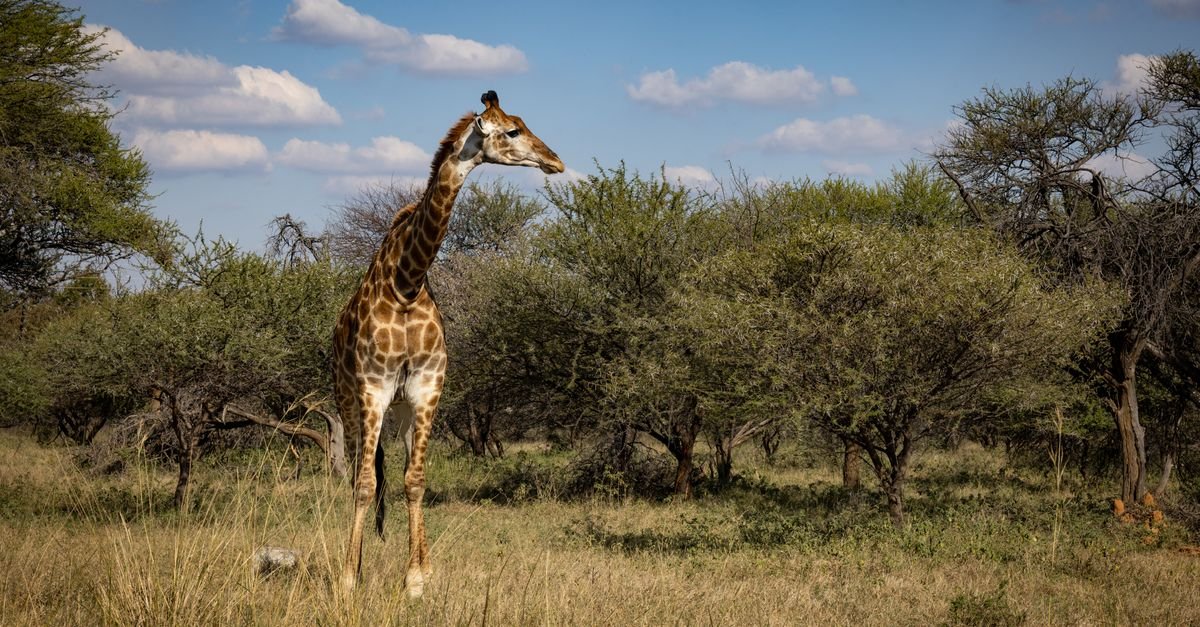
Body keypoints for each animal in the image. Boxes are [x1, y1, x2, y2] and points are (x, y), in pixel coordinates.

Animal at [333, 90, 564, 598]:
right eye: (512, 130)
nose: (555, 160)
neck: (405, 283)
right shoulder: (373, 388)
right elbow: (364, 484)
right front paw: (349, 579)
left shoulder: (426, 387)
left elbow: (415, 480)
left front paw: (417, 579)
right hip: (348, 401)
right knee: (358, 472)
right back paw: (353, 566)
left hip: (400, 411)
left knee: (397, 470)